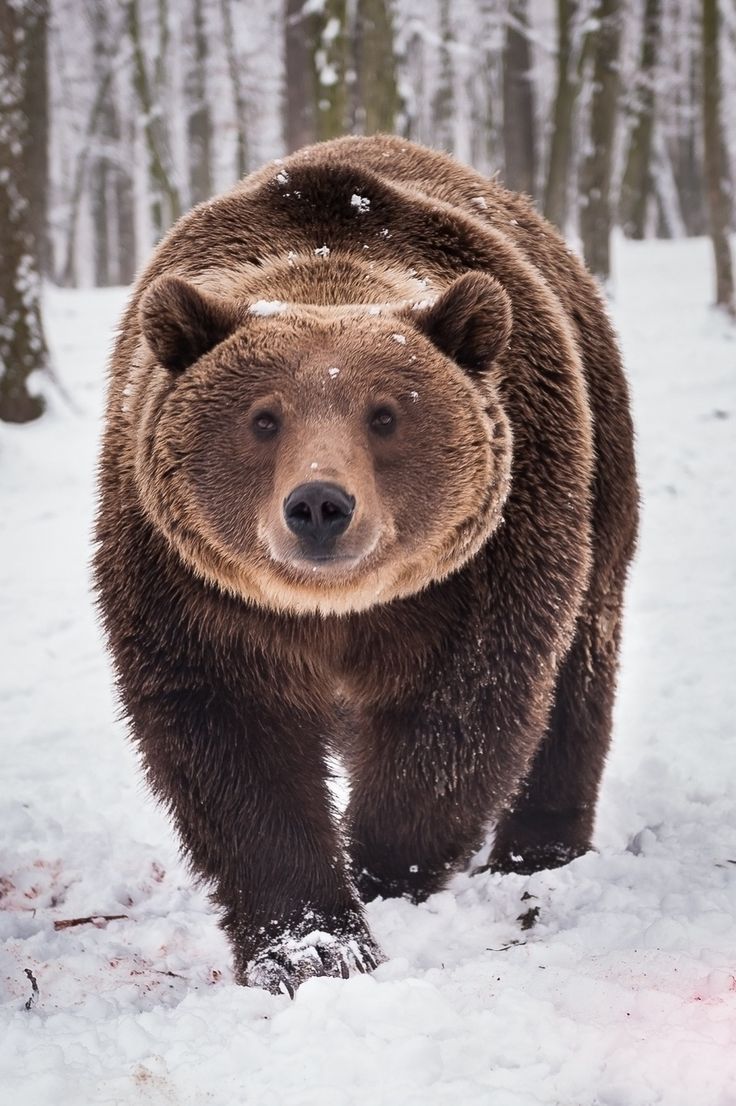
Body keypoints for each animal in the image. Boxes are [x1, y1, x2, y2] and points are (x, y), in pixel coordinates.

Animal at [94, 133, 637, 999]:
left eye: (385, 414)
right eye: (264, 418)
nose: (319, 504)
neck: (337, 611)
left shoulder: (487, 563)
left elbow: (460, 714)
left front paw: (383, 872)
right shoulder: (186, 583)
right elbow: (232, 742)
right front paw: (312, 946)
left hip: (600, 471)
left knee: (579, 670)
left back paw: (538, 854)